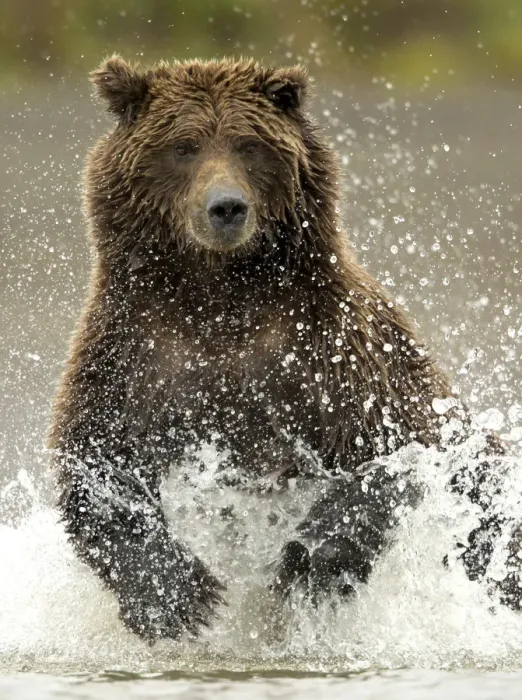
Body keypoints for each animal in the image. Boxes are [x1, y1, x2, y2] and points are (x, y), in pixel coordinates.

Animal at [49, 55, 520, 641]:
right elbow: (95, 465)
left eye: (249, 145)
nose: (226, 207)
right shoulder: (133, 352)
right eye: (184, 146)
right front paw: (179, 596)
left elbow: (403, 452)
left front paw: (304, 562)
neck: (220, 296)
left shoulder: (337, 350)